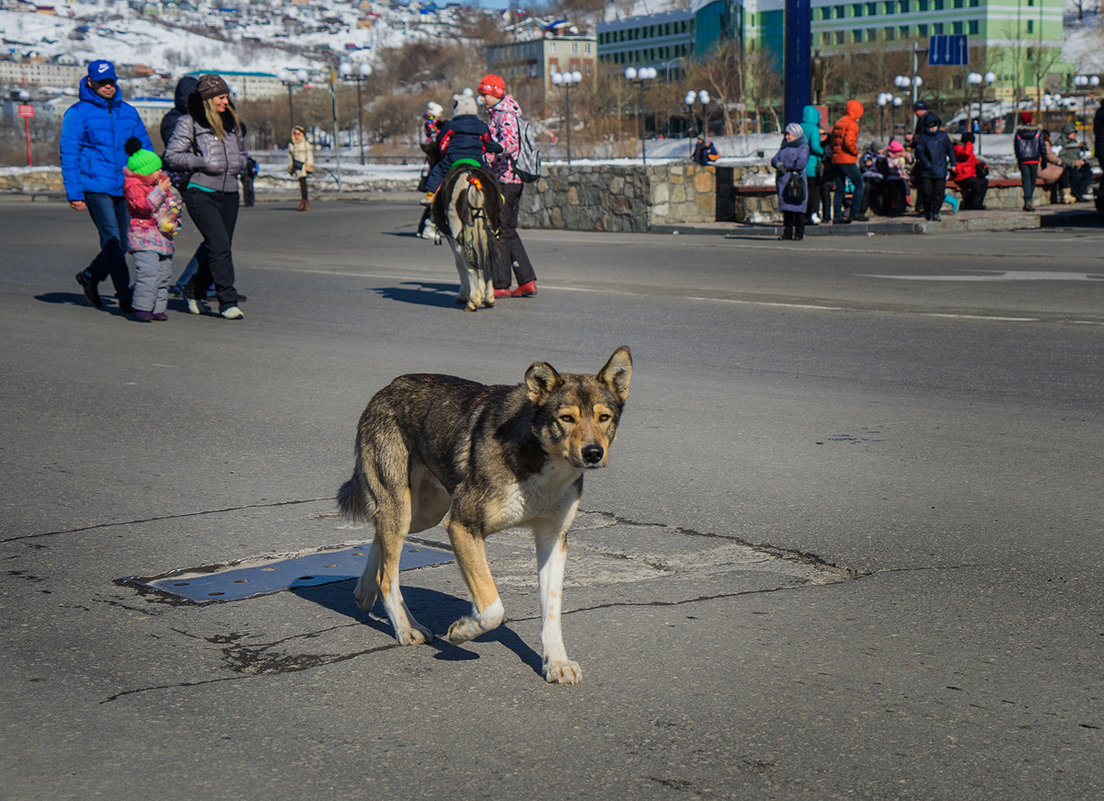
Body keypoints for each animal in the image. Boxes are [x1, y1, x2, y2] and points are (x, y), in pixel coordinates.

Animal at [333, 344, 631, 684]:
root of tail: (387, 388)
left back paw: (366, 592)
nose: (593, 453)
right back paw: (406, 628)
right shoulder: (462, 525)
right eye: (566, 418)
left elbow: (551, 612)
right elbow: (492, 609)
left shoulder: (553, 539)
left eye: (604, 417)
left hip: (422, 513)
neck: (540, 461)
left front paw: (557, 662)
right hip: (407, 507)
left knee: (380, 543)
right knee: (388, 574)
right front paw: (463, 631)